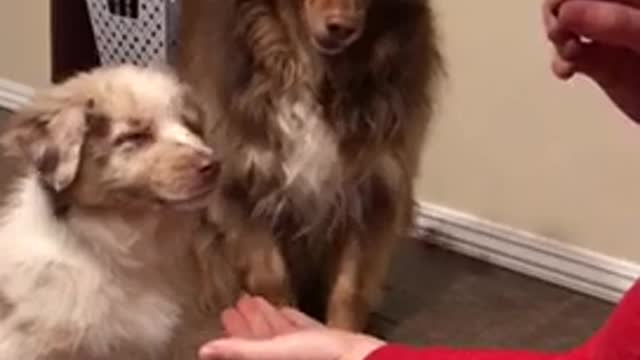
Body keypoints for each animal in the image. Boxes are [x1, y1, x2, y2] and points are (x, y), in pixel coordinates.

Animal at [178, 0, 442, 332]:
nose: (342, 27)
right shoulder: (244, 185)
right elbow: (270, 277)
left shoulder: (372, 192)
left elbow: (349, 289)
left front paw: (341, 335)